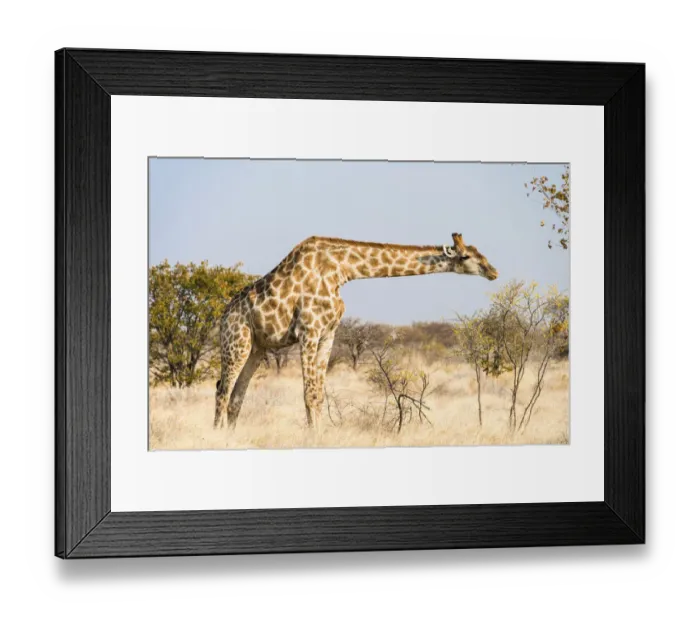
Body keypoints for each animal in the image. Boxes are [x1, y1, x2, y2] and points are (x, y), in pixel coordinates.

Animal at [214, 232, 499, 430]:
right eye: (466, 256)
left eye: (479, 252)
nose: (494, 271)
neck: (342, 270)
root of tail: (224, 316)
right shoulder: (308, 331)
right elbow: (309, 394)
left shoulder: (328, 333)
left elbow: (318, 394)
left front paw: (319, 436)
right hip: (236, 342)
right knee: (222, 390)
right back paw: (219, 436)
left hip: (257, 348)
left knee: (236, 396)